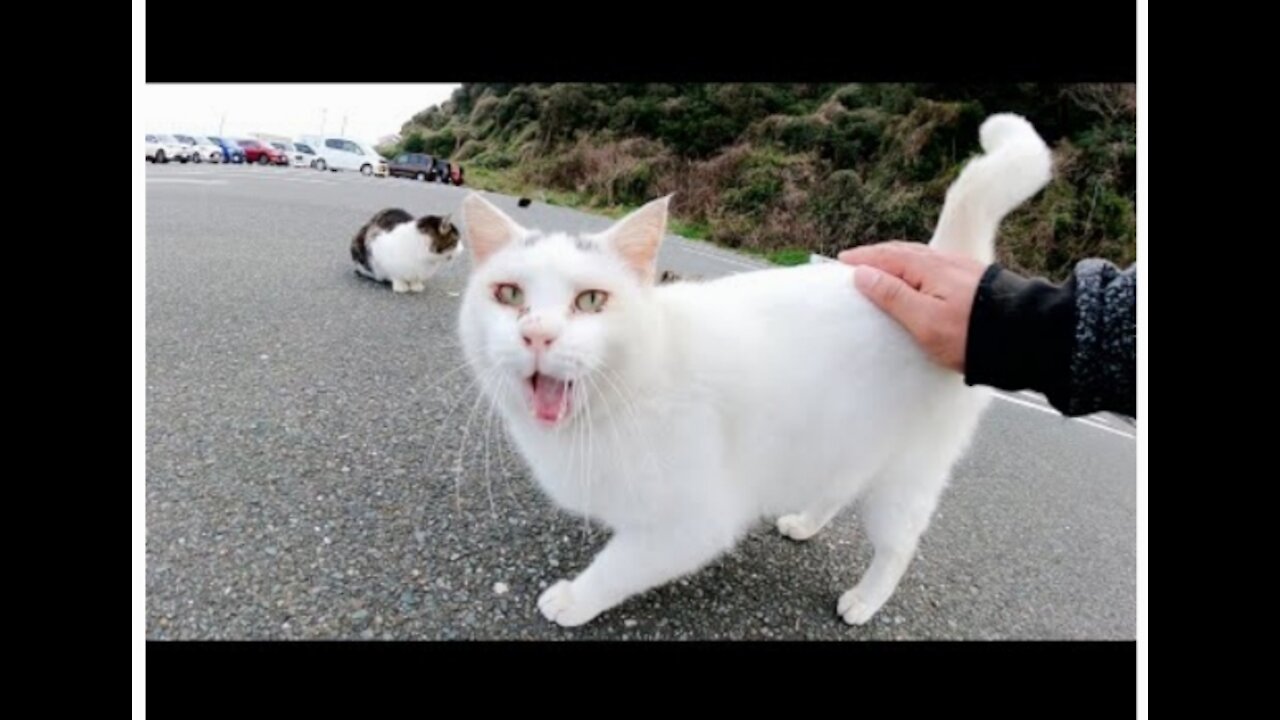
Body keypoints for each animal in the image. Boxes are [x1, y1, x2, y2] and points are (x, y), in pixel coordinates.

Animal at [455, 114, 1054, 625]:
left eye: (590, 301)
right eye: (509, 294)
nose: (537, 333)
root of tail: (943, 270)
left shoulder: (692, 523)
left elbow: (619, 566)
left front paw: (574, 599)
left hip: (908, 472)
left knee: (899, 545)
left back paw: (864, 600)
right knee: (838, 484)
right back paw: (804, 524)